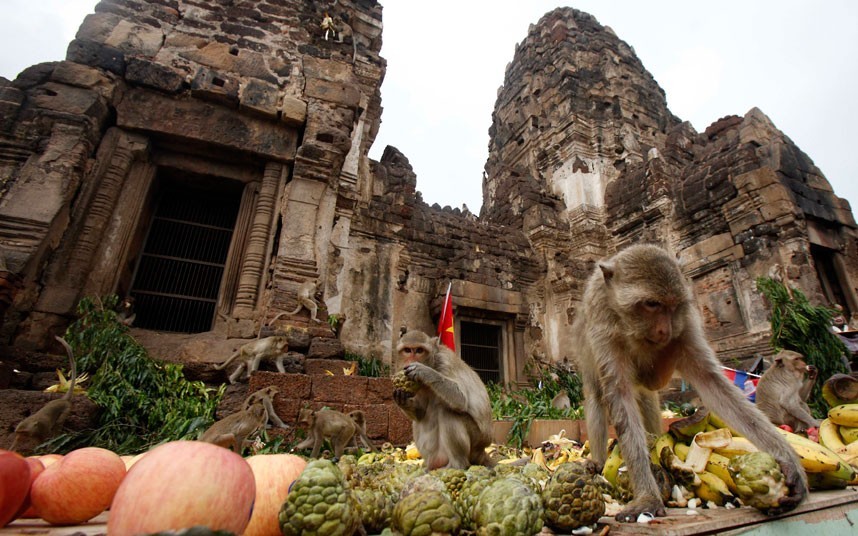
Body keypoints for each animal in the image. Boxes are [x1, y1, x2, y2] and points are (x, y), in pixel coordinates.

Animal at [392, 328, 492, 472]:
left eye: (419, 350)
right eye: (407, 350)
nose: (411, 360)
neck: (433, 362)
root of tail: (482, 450)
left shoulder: (445, 362)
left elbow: (461, 400)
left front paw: (425, 372)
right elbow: (420, 412)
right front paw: (401, 399)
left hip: (477, 440)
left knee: (447, 412)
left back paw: (458, 464)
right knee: (418, 421)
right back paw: (431, 466)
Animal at [572, 246, 804, 524]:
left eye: (672, 305)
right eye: (652, 304)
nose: (665, 331)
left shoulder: (685, 324)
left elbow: (712, 382)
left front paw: (789, 463)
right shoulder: (604, 329)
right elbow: (618, 395)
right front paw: (648, 496)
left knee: (648, 395)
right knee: (597, 396)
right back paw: (598, 461)